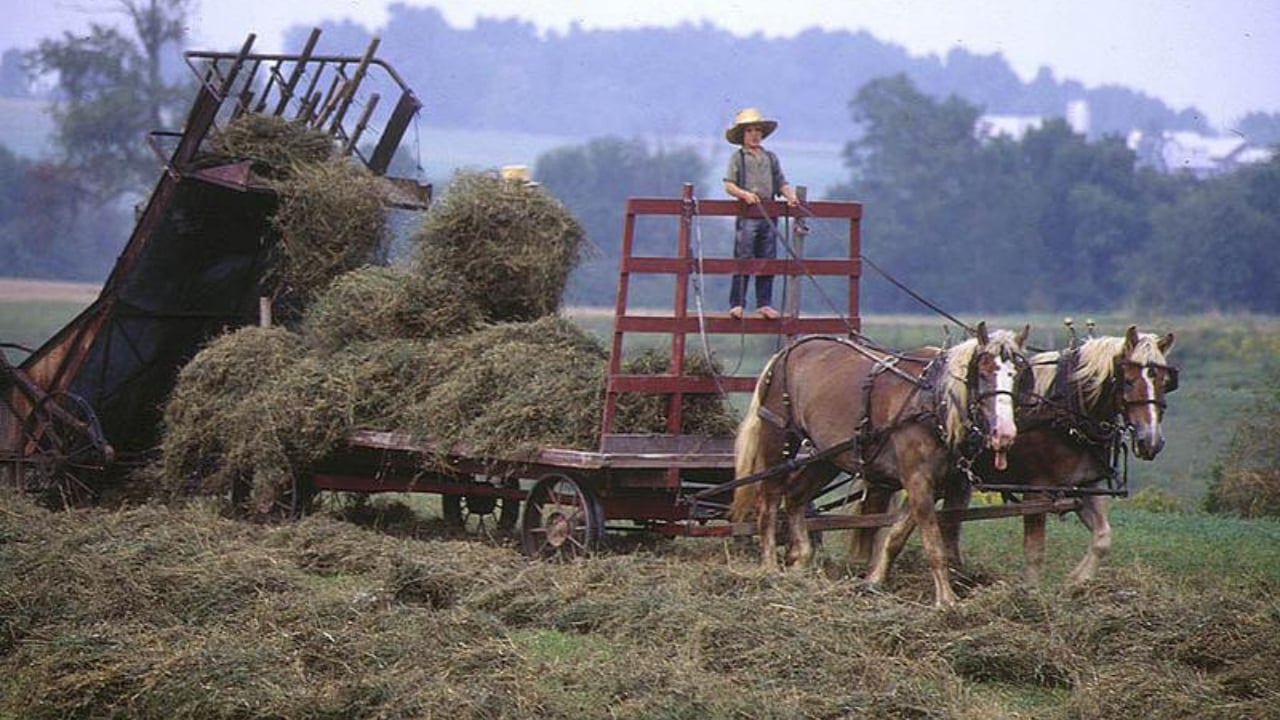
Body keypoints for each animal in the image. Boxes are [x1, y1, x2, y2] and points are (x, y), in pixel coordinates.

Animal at [732, 322, 1029, 602]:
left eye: (1017, 374)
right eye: (984, 372)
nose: (1004, 434)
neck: (934, 402)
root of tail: (787, 352)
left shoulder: (941, 484)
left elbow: (898, 535)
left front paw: (874, 581)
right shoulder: (918, 479)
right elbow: (933, 542)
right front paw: (947, 600)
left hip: (826, 456)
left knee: (795, 496)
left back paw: (800, 561)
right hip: (779, 439)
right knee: (769, 501)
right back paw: (770, 569)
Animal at [860, 325, 1177, 589]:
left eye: (1164, 381)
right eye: (1129, 380)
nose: (1152, 441)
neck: (1063, 414)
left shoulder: (1086, 487)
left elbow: (1102, 538)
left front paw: (1074, 584)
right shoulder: (1038, 490)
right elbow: (1034, 551)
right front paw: (1030, 594)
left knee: (904, 523)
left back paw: (877, 575)